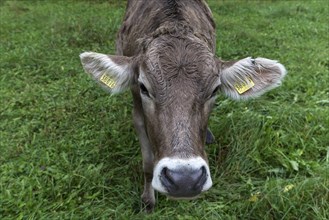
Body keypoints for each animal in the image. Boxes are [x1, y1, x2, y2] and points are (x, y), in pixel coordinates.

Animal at [79, 0, 284, 213]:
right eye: (144, 87)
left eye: (215, 90)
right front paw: (148, 200)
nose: (185, 179)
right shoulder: (137, 109)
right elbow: (147, 163)